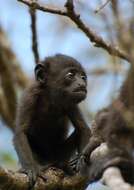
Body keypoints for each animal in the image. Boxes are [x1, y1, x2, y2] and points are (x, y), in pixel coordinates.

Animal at [13, 53, 91, 189]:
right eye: (70, 75)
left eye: (83, 77)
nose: (82, 84)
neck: (50, 97)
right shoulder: (29, 95)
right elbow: (20, 133)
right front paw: (30, 169)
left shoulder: (70, 102)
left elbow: (83, 128)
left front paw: (81, 158)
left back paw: (62, 164)